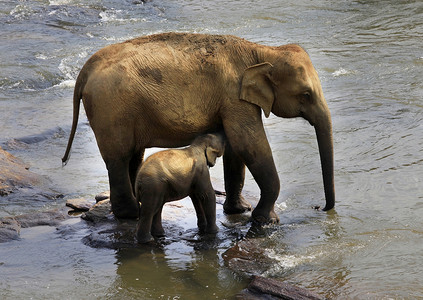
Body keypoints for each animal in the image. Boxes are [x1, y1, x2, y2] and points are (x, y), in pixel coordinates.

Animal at [61, 32, 336, 223]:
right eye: (306, 94)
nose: (320, 207)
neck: (261, 51)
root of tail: (85, 70)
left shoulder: (232, 101)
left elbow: (236, 147)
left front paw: (240, 210)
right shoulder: (234, 96)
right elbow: (248, 143)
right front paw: (265, 220)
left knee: (132, 155)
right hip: (111, 109)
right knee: (118, 157)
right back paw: (131, 214)